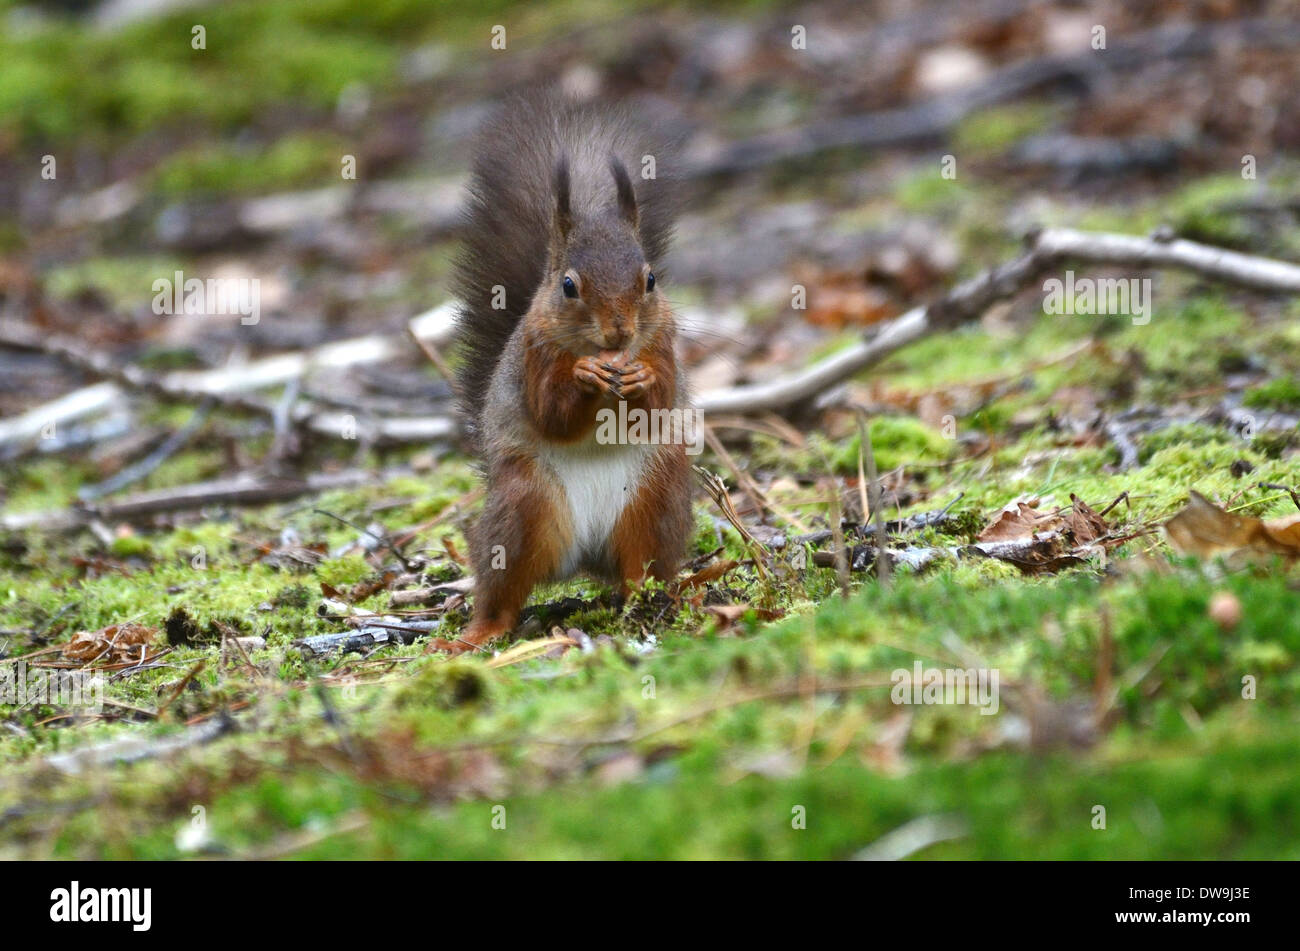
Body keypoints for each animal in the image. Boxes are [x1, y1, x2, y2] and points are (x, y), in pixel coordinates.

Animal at [423, 94, 691, 654]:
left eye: (651, 279)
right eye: (569, 285)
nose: (619, 331)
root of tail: (585, 556)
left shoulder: (664, 344)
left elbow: (661, 400)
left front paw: (640, 380)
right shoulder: (535, 354)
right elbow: (551, 414)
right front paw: (585, 375)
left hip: (655, 497)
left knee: (640, 565)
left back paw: (656, 598)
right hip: (523, 505)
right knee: (502, 592)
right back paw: (476, 634)